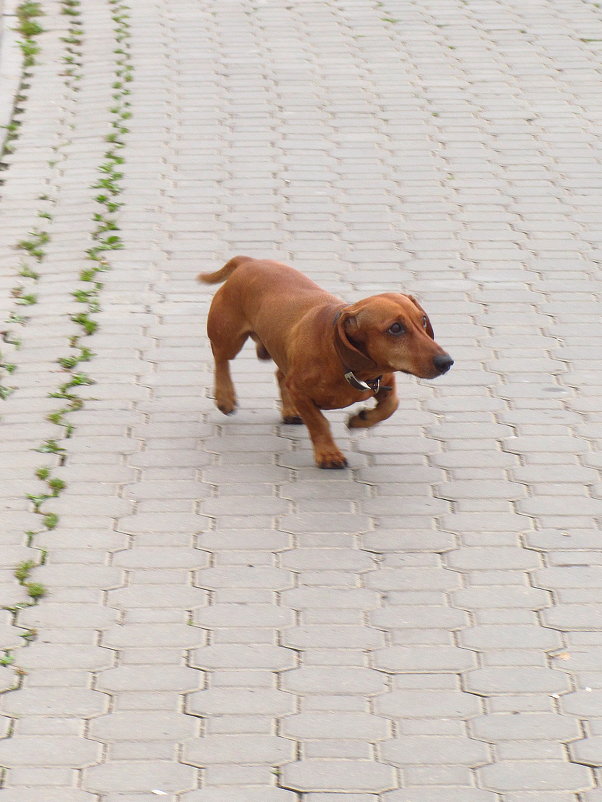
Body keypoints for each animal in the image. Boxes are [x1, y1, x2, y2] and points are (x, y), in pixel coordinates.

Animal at [199, 255, 452, 468]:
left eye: (423, 320)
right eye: (395, 328)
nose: (446, 362)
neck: (344, 362)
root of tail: (249, 261)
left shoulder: (385, 381)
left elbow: (391, 406)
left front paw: (361, 419)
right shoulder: (299, 390)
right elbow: (318, 423)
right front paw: (328, 454)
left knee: (279, 374)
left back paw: (289, 410)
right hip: (228, 337)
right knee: (221, 360)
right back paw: (225, 397)